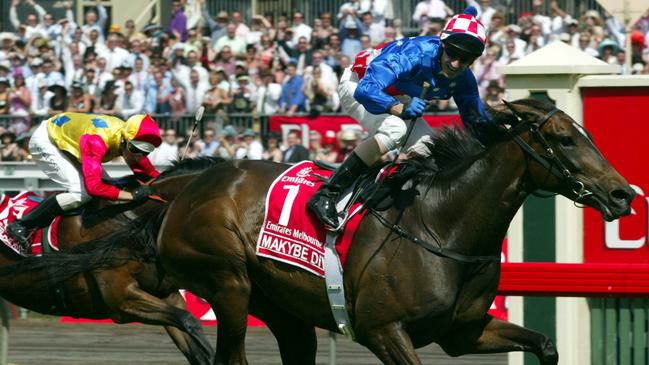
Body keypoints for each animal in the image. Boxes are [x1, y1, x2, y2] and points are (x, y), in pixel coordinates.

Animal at [154, 98, 636, 362]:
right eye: (565, 139)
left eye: (588, 134)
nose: (622, 194)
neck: (442, 225)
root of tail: (191, 181)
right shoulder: (384, 331)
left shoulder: (463, 331)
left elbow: (546, 344)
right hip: (228, 284)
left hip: (281, 309)